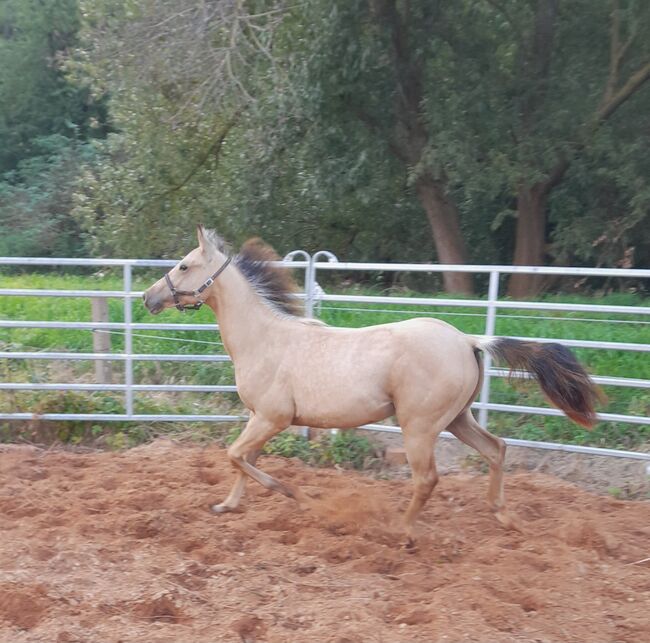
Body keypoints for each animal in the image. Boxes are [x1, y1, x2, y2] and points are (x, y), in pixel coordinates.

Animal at [144, 226, 600, 544]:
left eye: (183, 265)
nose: (148, 299)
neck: (265, 339)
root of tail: (469, 340)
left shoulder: (272, 418)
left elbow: (237, 456)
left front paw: (298, 496)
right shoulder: (259, 418)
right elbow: (242, 460)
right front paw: (227, 505)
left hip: (419, 427)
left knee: (427, 479)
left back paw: (402, 532)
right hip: (458, 420)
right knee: (496, 449)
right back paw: (502, 515)